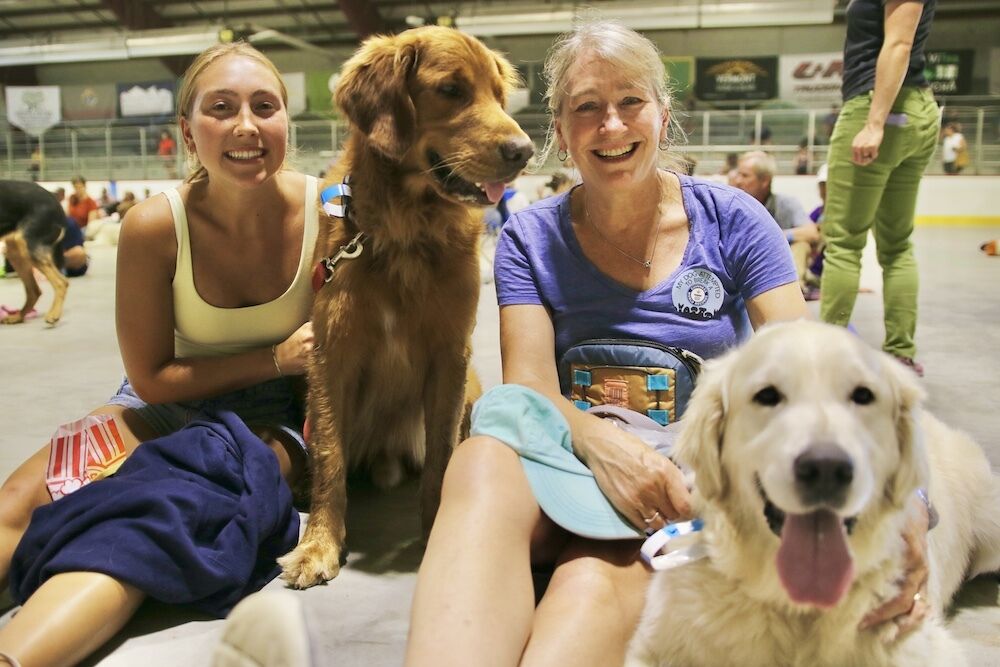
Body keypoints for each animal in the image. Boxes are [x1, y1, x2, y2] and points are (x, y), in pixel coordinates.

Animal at [0, 177, 68, 324]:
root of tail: (54, 198)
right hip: (16, 253)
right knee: (34, 291)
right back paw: (18, 316)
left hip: (27, 246)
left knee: (61, 283)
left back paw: (53, 315)